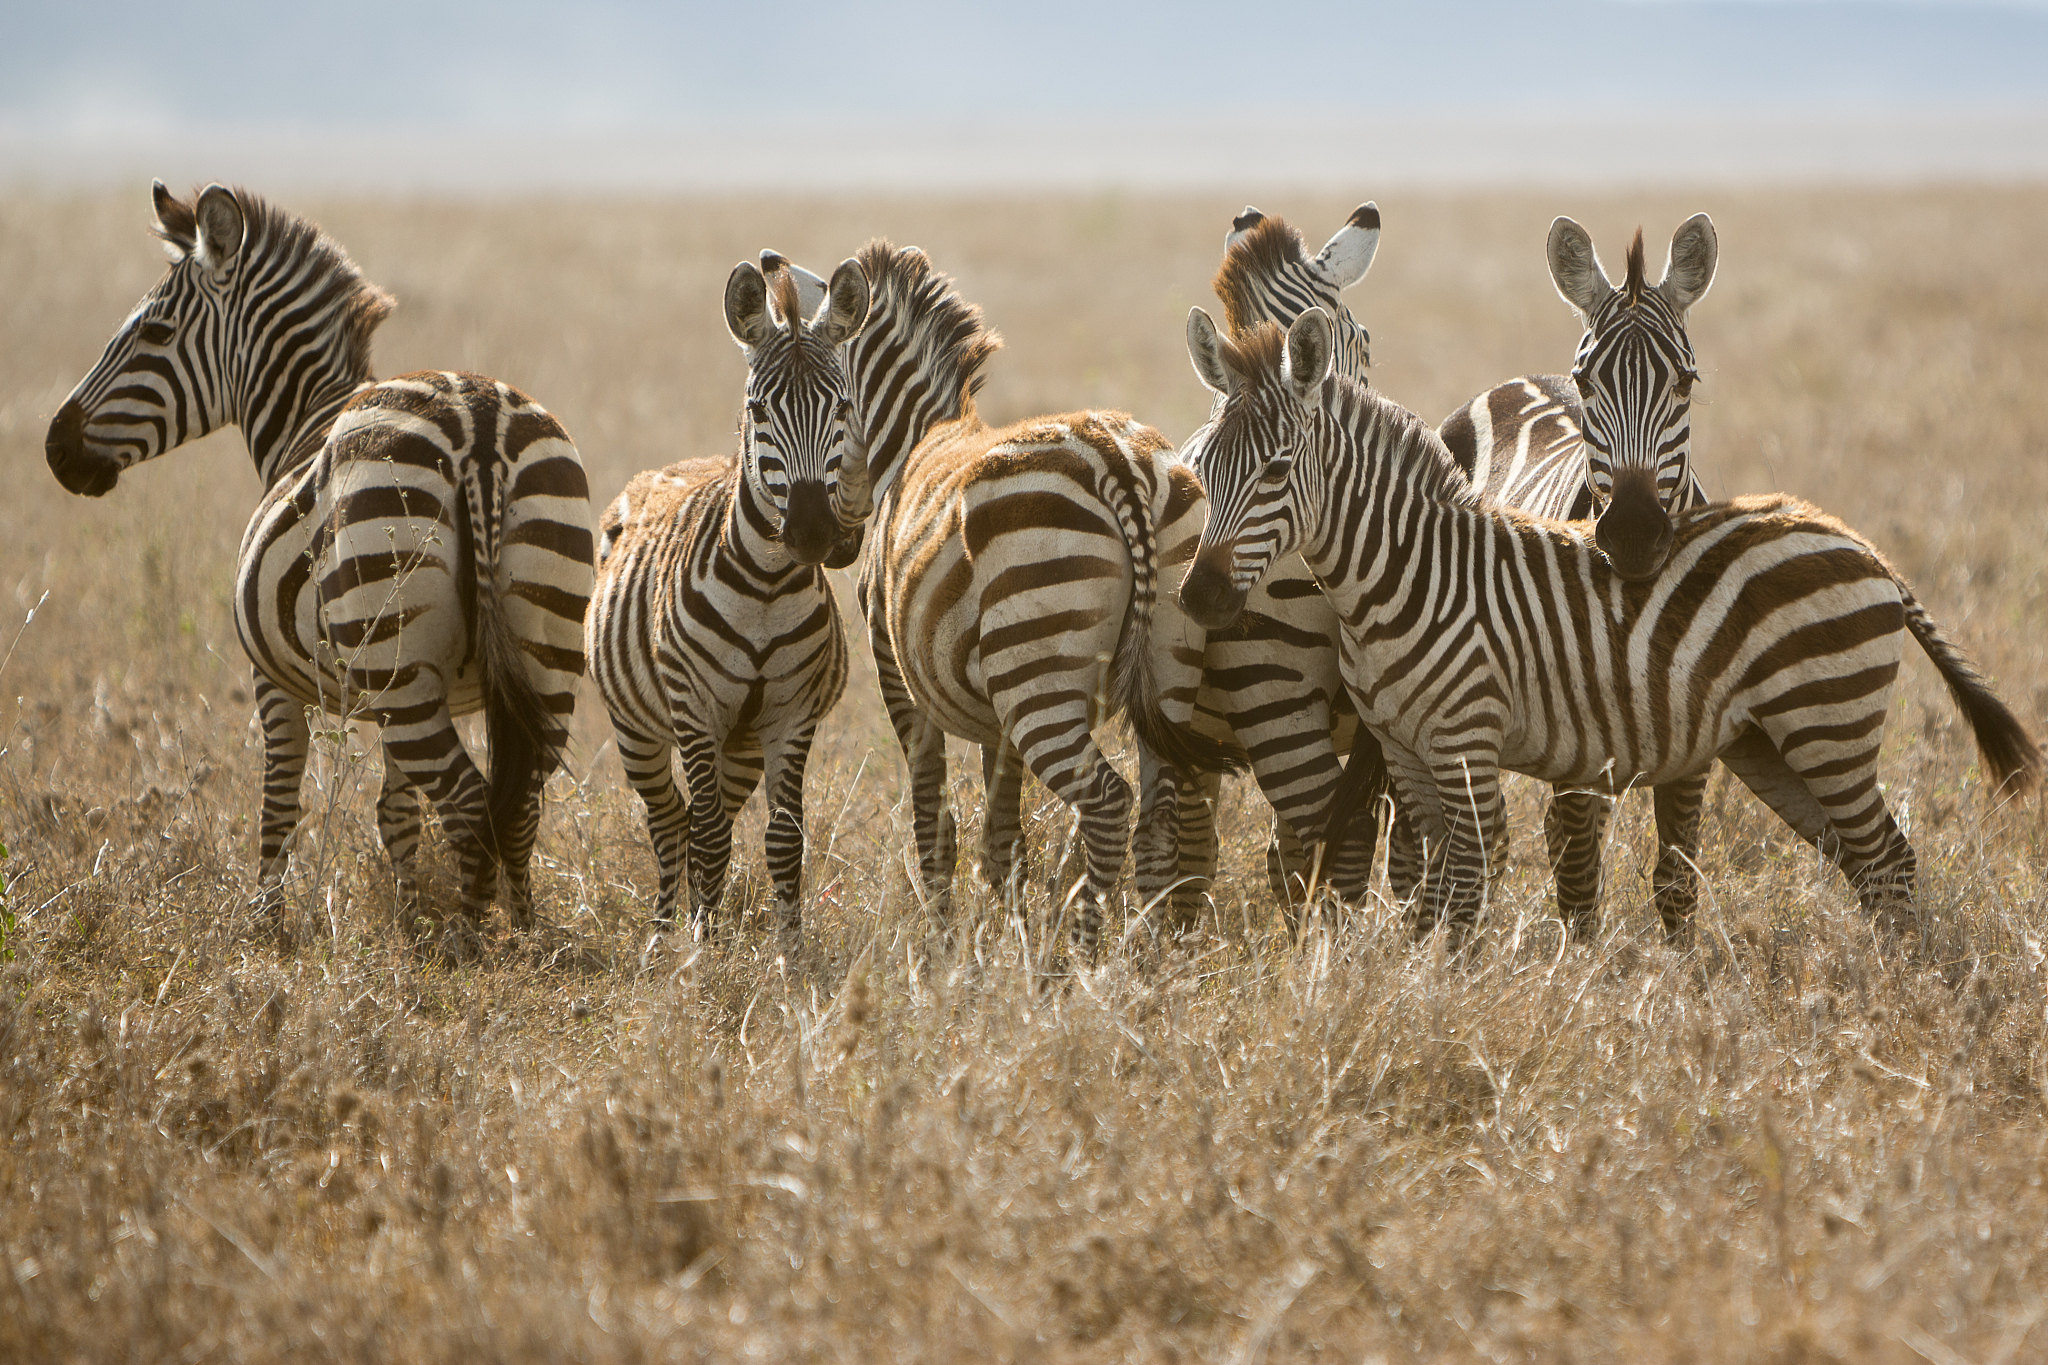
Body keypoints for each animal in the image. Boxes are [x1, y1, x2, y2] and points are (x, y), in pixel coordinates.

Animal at [44, 182, 593, 956]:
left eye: (153, 332)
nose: (55, 448)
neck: (306, 414)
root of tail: (477, 421)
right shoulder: (417, 688)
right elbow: (395, 809)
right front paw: (407, 920)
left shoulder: (271, 682)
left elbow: (278, 802)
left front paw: (266, 928)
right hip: (533, 653)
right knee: (517, 801)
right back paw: (526, 933)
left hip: (400, 648)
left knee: (467, 801)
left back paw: (469, 942)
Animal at [584, 255, 870, 941]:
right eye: (759, 408)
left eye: (843, 406)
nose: (812, 534)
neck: (765, 587)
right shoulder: (695, 707)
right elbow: (710, 838)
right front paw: (700, 954)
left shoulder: (791, 716)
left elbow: (784, 841)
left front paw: (789, 951)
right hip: (638, 730)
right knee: (671, 820)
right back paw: (664, 936)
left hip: (740, 746)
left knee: (695, 819)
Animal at [841, 244, 1239, 956]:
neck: (917, 435)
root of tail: (1118, 463)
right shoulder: (994, 719)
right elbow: (1003, 834)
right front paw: (999, 936)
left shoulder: (897, 674)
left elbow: (933, 818)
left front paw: (947, 945)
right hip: (1169, 653)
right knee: (1166, 814)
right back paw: (1151, 960)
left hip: (1038, 676)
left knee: (1108, 802)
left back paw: (1074, 961)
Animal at [1177, 308, 2041, 939]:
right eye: (1202, 468)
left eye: (1276, 471)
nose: (1201, 599)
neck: (1401, 576)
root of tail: (1860, 542)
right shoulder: (1405, 747)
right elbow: (1433, 891)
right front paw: (1419, 984)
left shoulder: (1467, 740)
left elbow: (1468, 884)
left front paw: (1456, 999)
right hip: (1770, 743)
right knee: (1872, 859)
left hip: (1827, 722)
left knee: (1884, 855)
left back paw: (1900, 990)